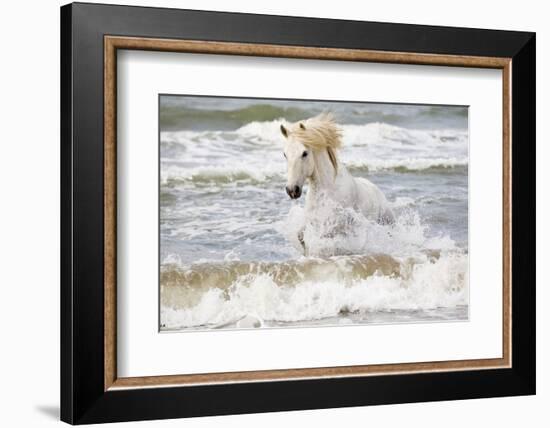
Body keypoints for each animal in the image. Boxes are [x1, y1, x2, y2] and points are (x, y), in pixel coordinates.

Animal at [282, 113, 394, 254]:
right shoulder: (312, 221)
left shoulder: (334, 226)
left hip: (386, 222)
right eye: (285, 154)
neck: (328, 191)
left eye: (304, 153)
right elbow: (301, 236)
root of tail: (376, 189)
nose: (292, 190)